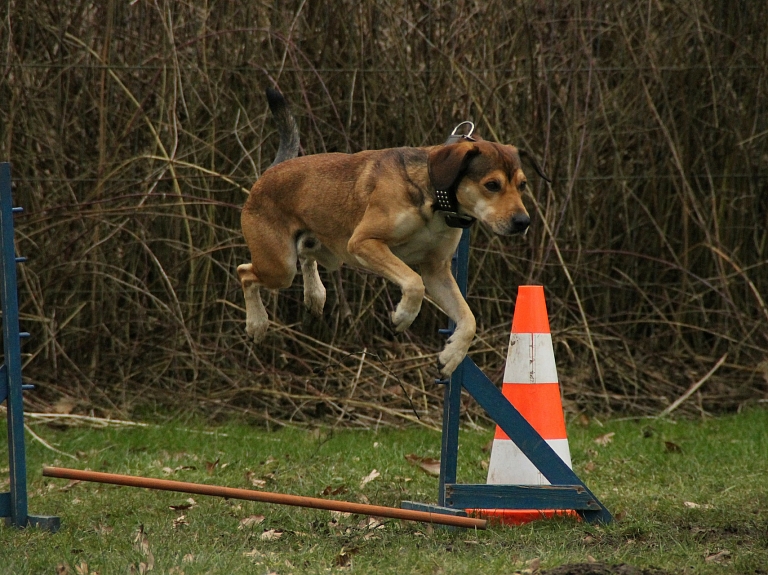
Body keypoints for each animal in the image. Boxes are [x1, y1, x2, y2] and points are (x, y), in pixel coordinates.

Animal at [237, 89, 548, 378]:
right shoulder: (364, 242)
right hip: (279, 266)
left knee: (305, 254)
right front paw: (403, 317)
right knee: (246, 273)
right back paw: (257, 324)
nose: (523, 222)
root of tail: (268, 173)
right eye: (492, 185)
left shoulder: (437, 270)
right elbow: (413, 282)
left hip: (318, 250)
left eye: (522, 185)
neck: (435, 198)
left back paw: (315, 294)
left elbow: (468, 319)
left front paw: (450, 357)